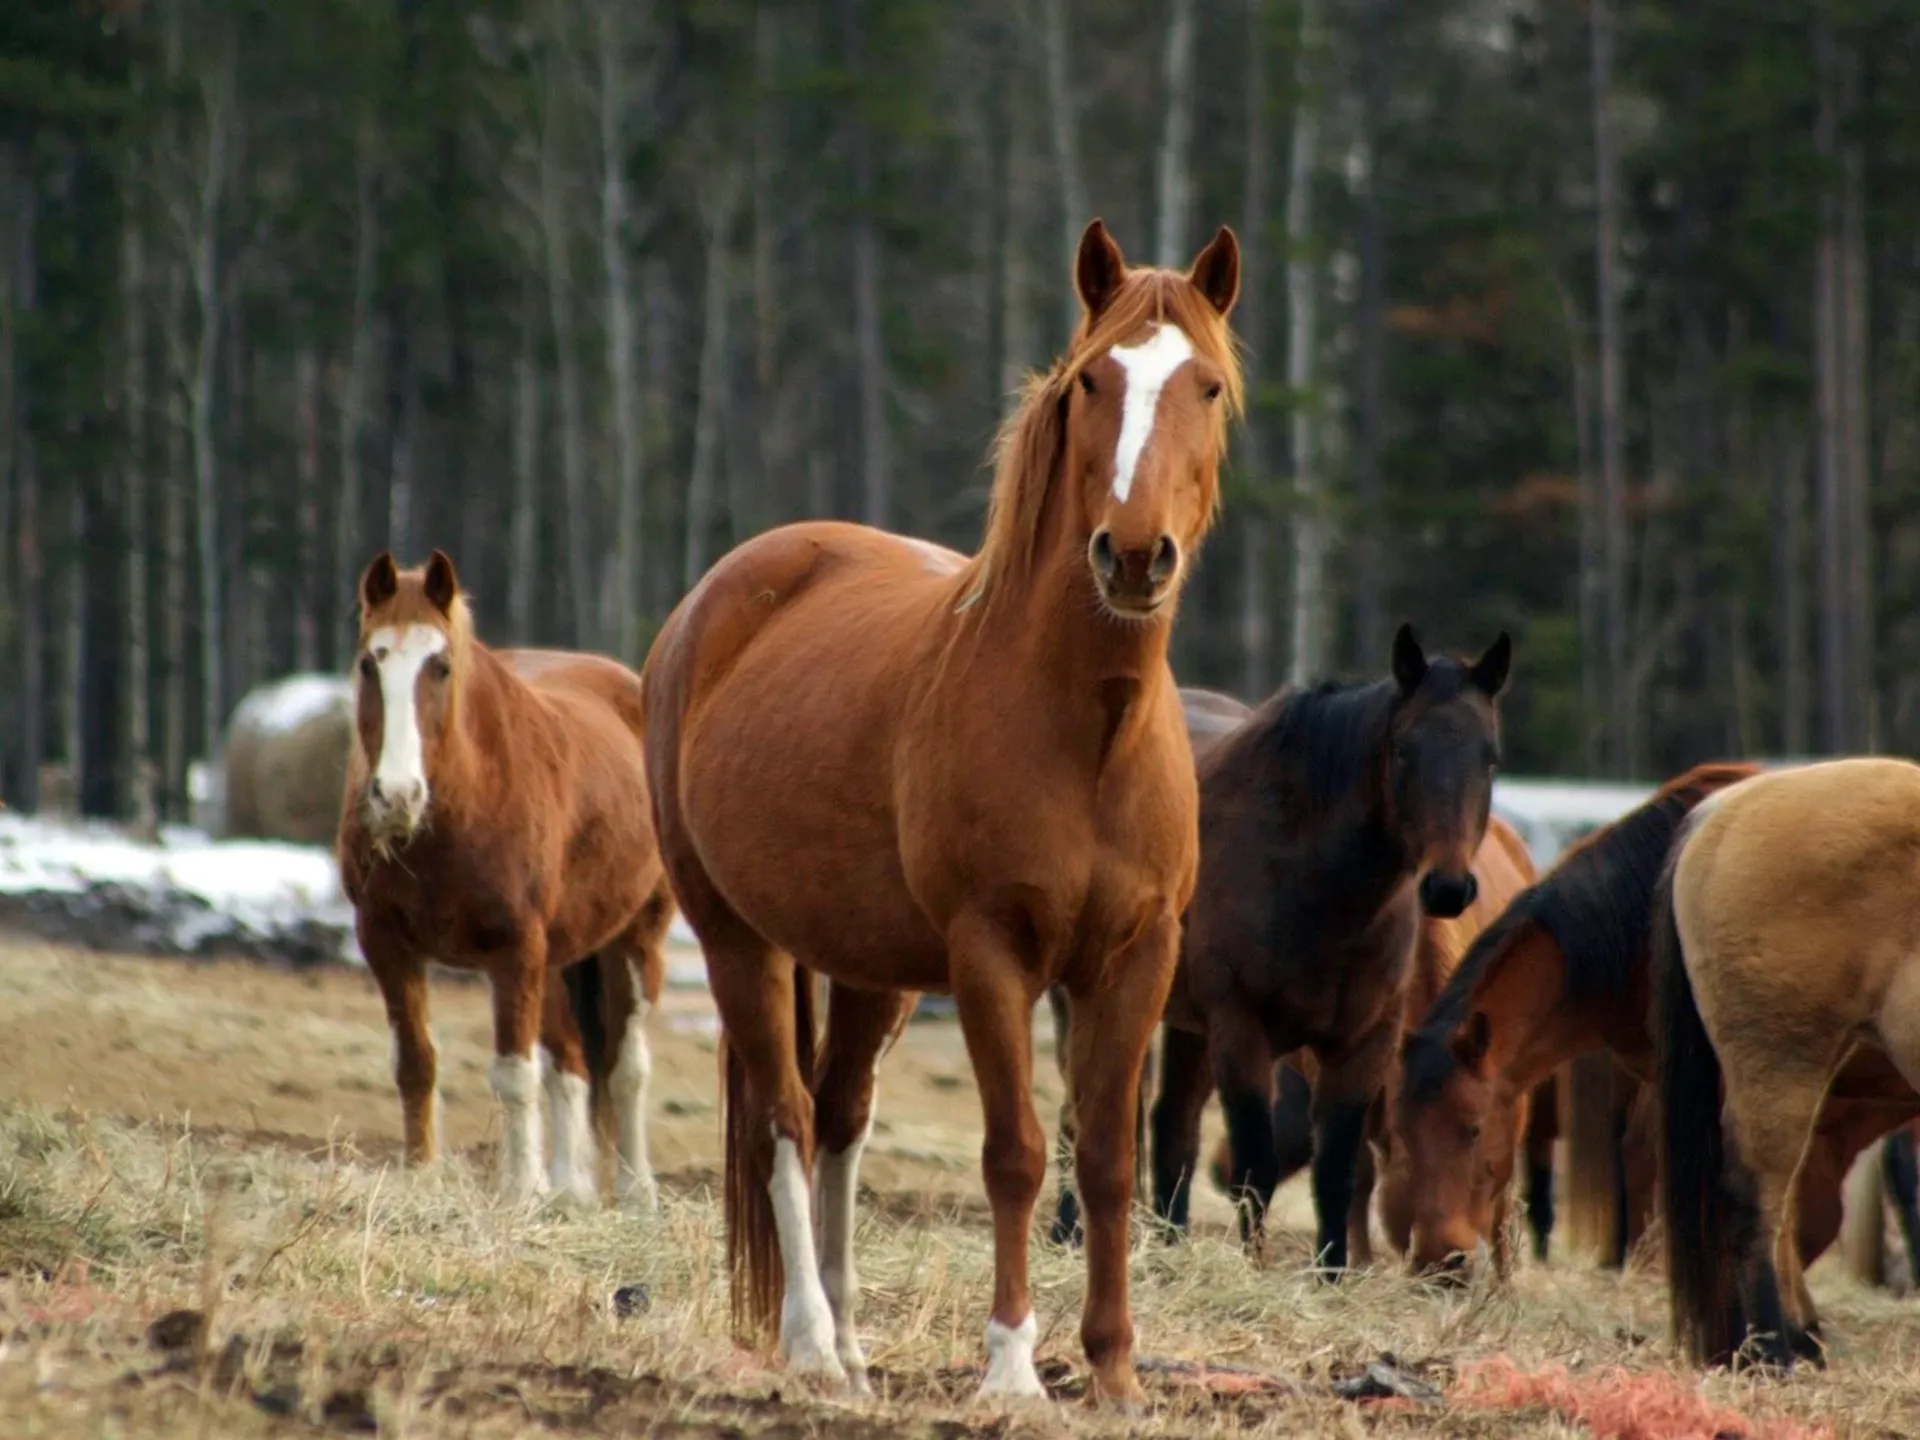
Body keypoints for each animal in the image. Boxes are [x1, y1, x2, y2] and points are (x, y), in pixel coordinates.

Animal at [337, 550, 676, 1209]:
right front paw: (423, 1175)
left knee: (626, 1066)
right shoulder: (385, 942)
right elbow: (415, 1061)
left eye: (441, 666)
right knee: (571, 1060)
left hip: (633, 939)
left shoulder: (515, 947)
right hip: (556, 960)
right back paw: (569, 1187)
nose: (397, 796)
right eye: (370, 661)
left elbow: (516, 1073)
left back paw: (634, 1189)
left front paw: (519, 1191)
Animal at [640, 220, 1244, 1405]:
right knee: (784, 1117)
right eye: (1093, 380)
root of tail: (709, 604)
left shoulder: (1137, 960)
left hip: (868, 964)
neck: (1087, 728)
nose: (1134, 555)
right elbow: (1015, 1153)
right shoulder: (990, 954)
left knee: (839, 1118)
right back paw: (812, 1345)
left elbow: (1106, 1160)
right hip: (738, 940)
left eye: (1203, 383)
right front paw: (1010, 1367)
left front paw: (1115, 1371)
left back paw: (852, 1342)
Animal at [1147, 623, 1512, 1273]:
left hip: (1188, 1025)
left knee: (1173, 1128)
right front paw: (1255, 1271)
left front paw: (1334, 1273)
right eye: (1403, 750)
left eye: (1488, 755)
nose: (1447, 887)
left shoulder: (1363, 1041)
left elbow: (1337, 1172)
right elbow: (1255, 1166)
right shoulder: (1241, 1029)